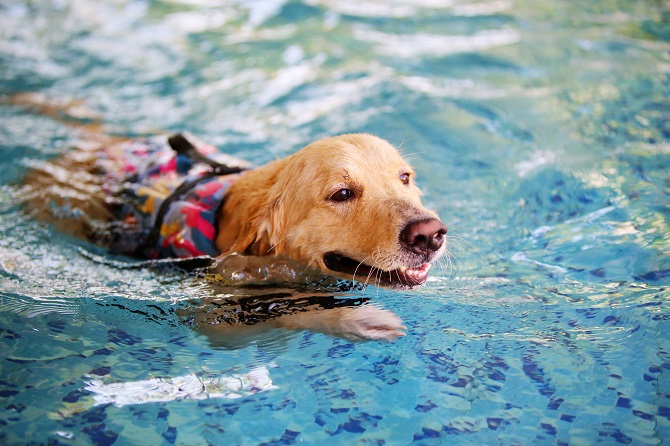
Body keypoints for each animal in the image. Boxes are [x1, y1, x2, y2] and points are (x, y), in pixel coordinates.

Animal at [10, 92, 448, 340]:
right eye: (341, 194)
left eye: (404, 177)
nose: (430, 234)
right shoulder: (209, 314)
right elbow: (287, 312)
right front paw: (359, 320)